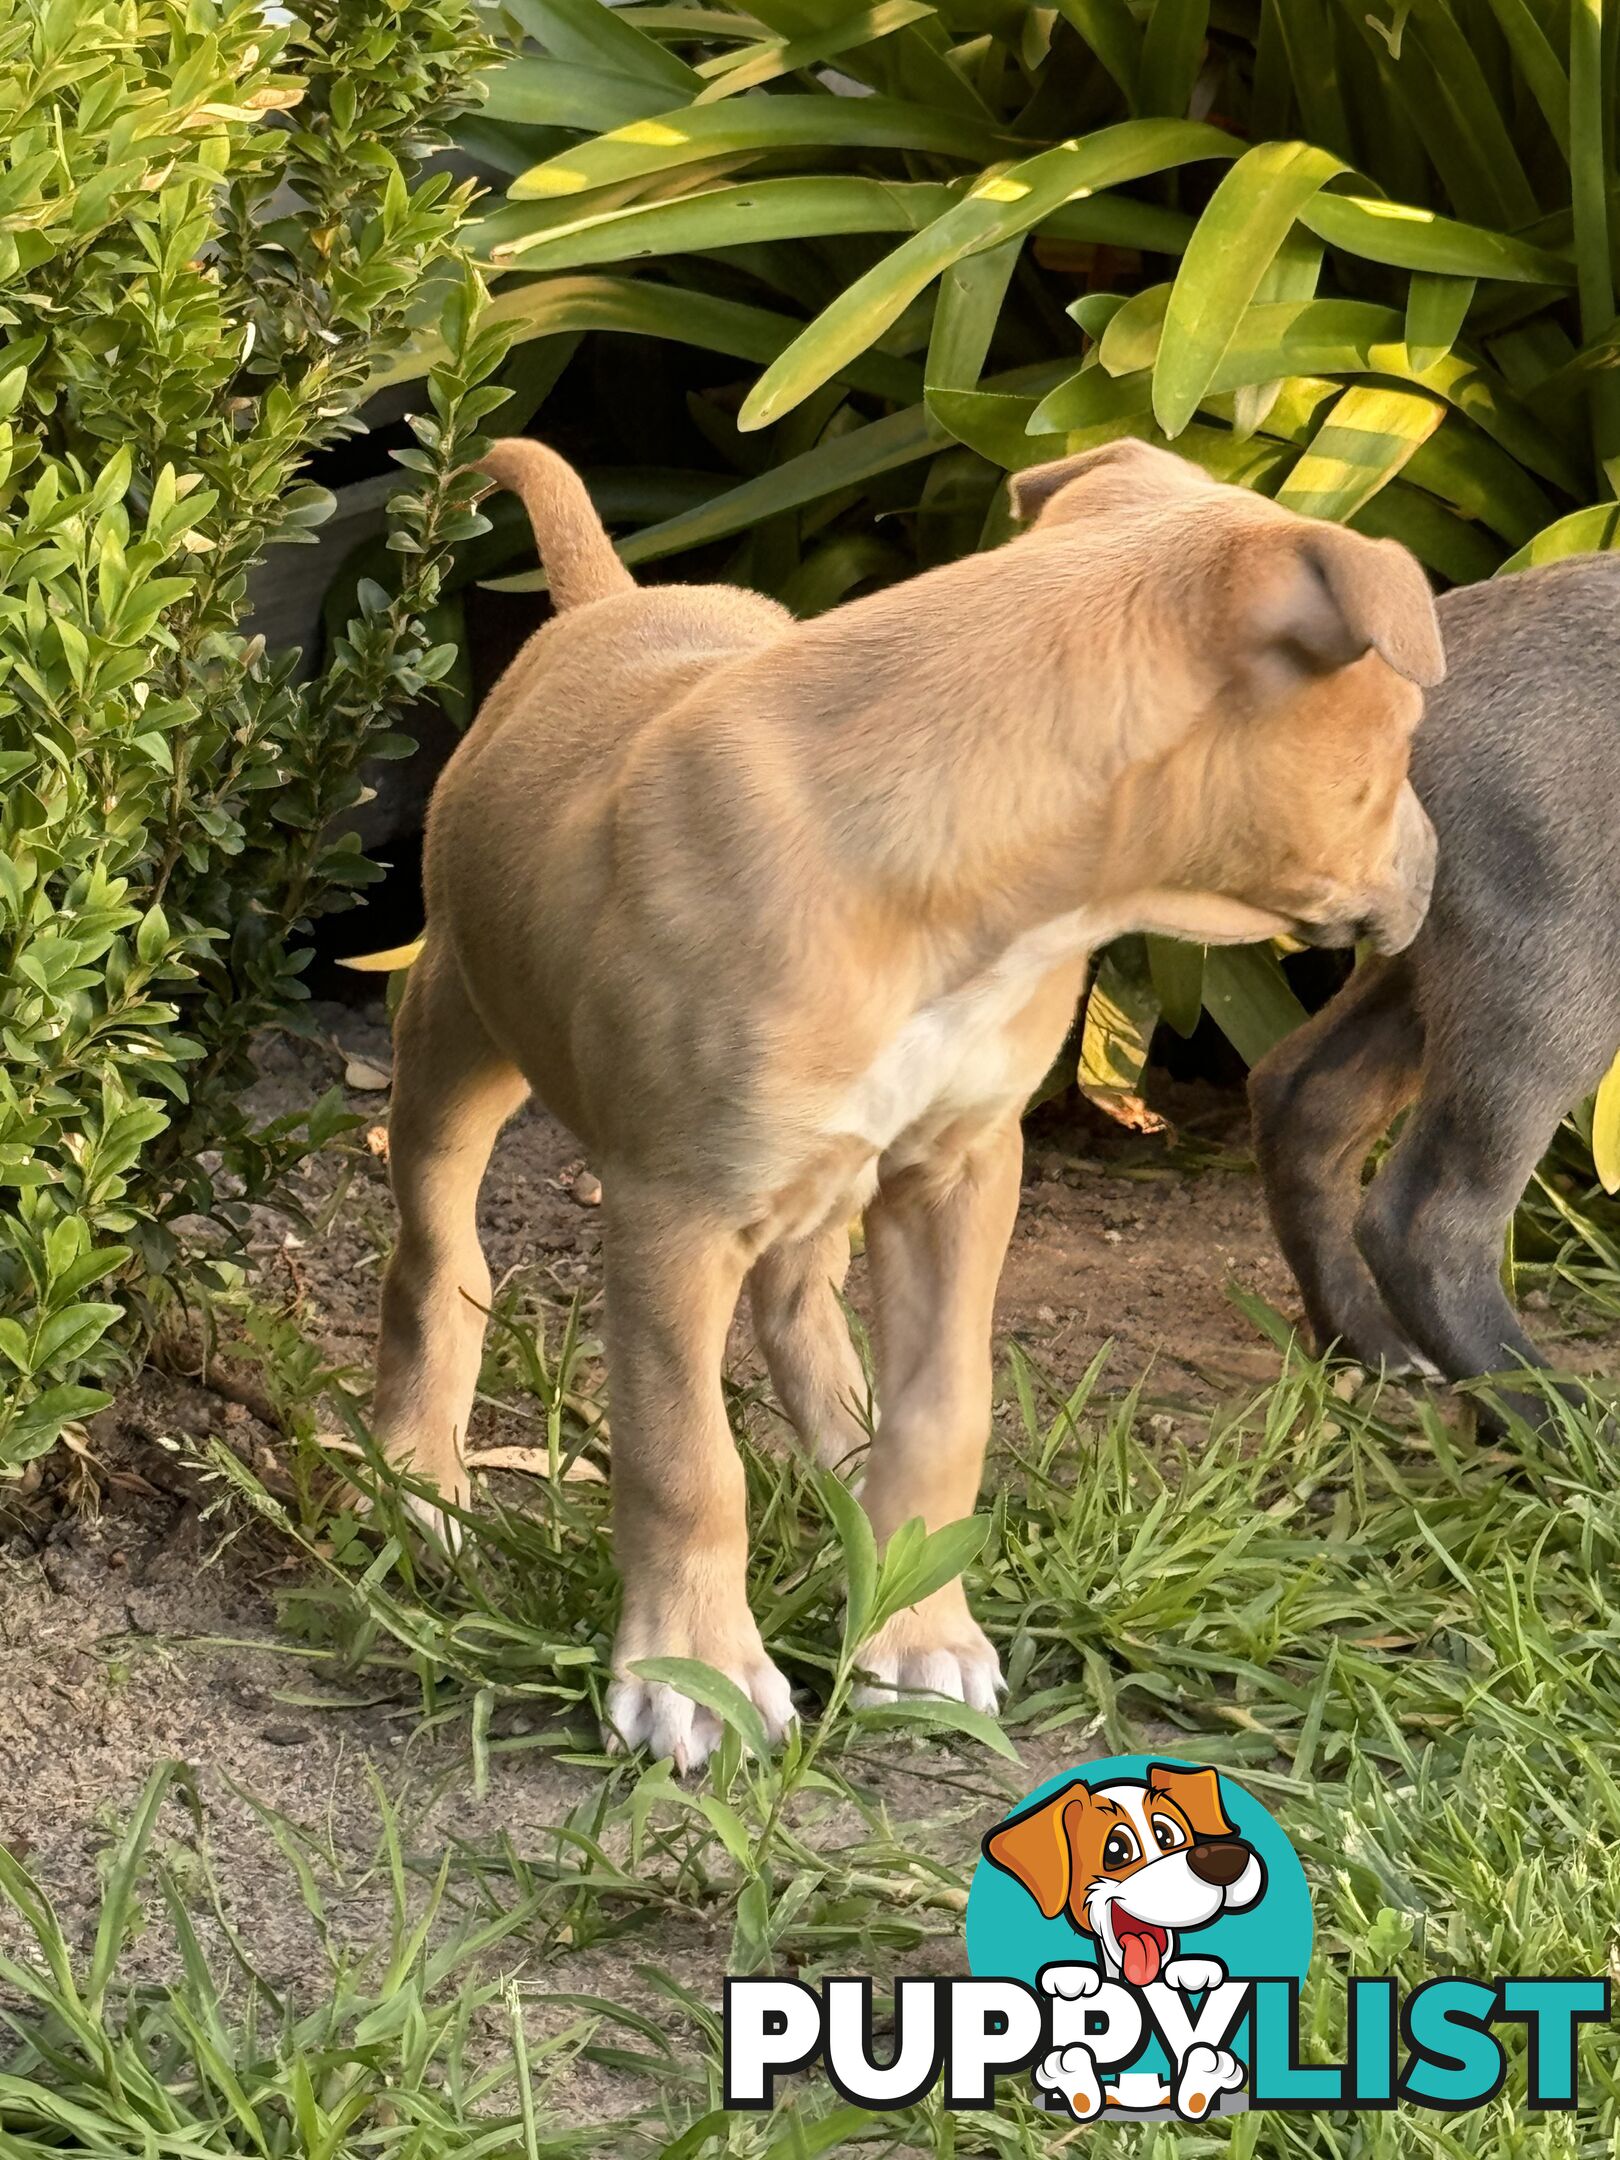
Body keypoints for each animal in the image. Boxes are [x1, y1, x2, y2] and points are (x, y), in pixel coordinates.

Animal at [371, 438, 1442, 1771]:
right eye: (1407, 736)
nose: (1442, 864)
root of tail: (615, 600)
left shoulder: (962, 1171)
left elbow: (945, 1415)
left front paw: (916, 1624)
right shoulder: (674, 1212)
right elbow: (685, 1459)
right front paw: (695, 1677)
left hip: (825, 1166)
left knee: (797, 1302)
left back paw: (848, 1450)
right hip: (456, 1031)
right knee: (439, 1259)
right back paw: (418, 1481)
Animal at [1252, 552, 1620, 1416]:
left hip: (1437, 965)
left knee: (1302, 1097)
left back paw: (1371, 1345)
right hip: (1554, 977)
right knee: (1429, 1222)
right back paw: (1553, 1420)